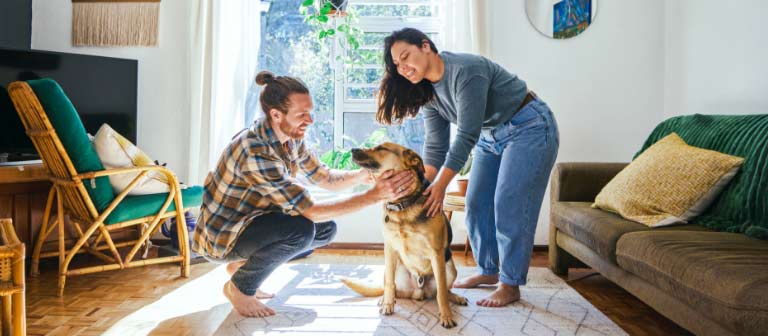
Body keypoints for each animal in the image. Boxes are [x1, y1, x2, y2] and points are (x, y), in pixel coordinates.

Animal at [344, 141, 468, 328]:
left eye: (381, 148)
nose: (352, 150)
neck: (402, 205)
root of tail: (418, 292)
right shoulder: (389, 249)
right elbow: (389, 285)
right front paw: (388, 305)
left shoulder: (436, 253)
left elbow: (441, 292)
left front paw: (446, 316)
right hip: (392, 268)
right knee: (393, 288)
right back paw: (385, 300)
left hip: (450, 267)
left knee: (443, 290)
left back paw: (456, 298)